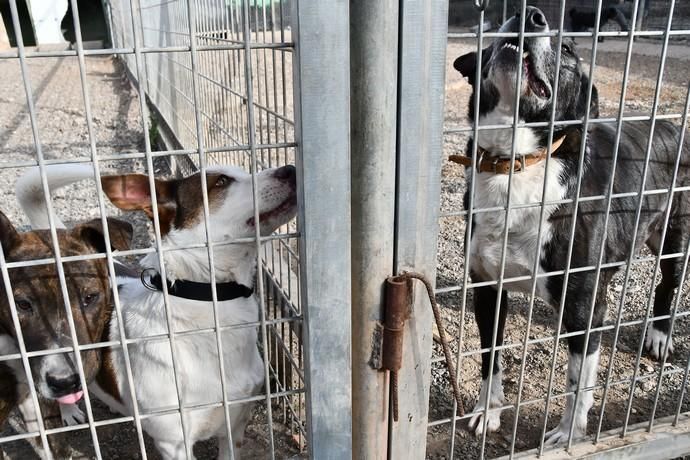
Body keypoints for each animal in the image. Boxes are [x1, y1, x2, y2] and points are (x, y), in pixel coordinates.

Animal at [452, 6, 688, 446]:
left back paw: (660, 336)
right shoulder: (487, 288)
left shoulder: (584, 309)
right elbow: (490, 356)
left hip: (674, 238)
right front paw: (487, 411)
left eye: (567, 50)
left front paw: (568, 435)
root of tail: (672, 124)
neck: (516, 164)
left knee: (668, 284)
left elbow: (578, 381)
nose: (529, 14)